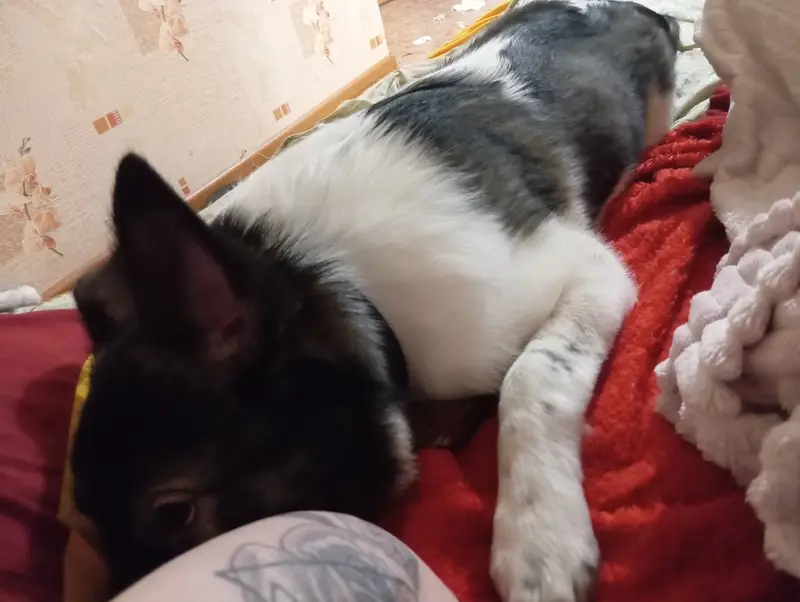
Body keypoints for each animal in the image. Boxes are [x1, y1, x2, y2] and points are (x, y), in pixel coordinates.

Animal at [71, 2, 678, 599]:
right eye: (90, 529)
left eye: (174, 513)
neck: (332, 278)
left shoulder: (589, 273)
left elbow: (529, 380)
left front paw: (539, 541)